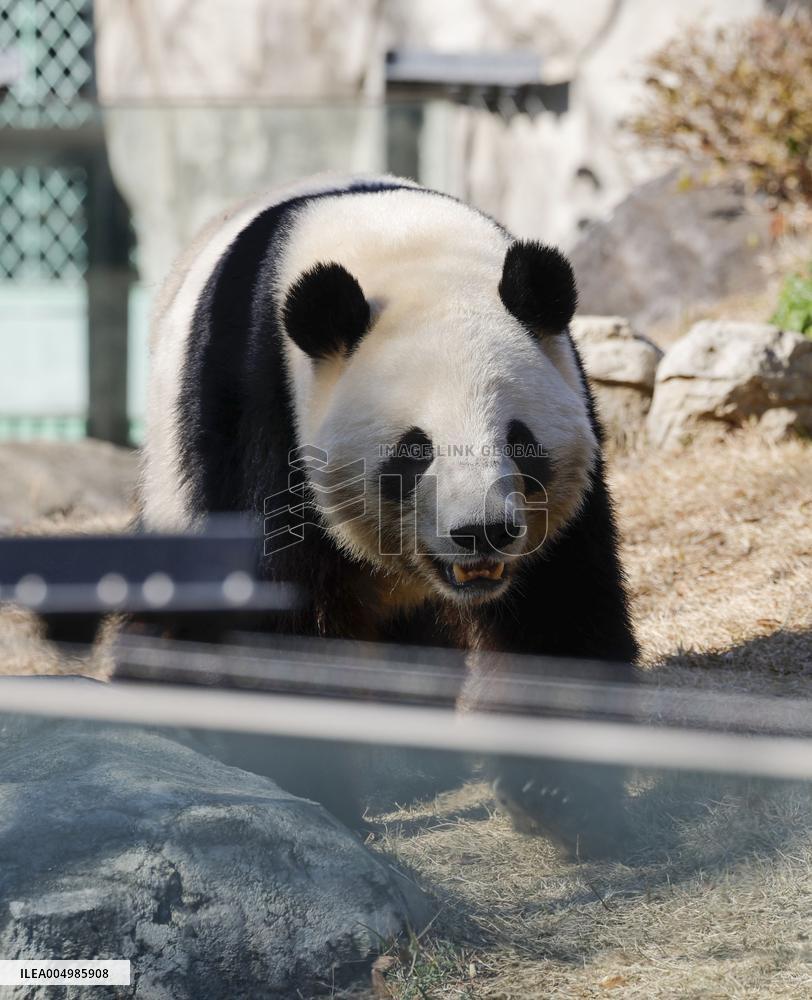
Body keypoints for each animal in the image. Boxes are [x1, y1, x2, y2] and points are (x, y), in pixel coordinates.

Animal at [141, 174, 639, 857]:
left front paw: (558, 797)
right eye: (414, 450)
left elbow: (558, 607)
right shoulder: (264, 412)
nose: (482, 533)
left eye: (520, 441)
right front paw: (312, 792)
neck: (406, 249)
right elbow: (281, 616)